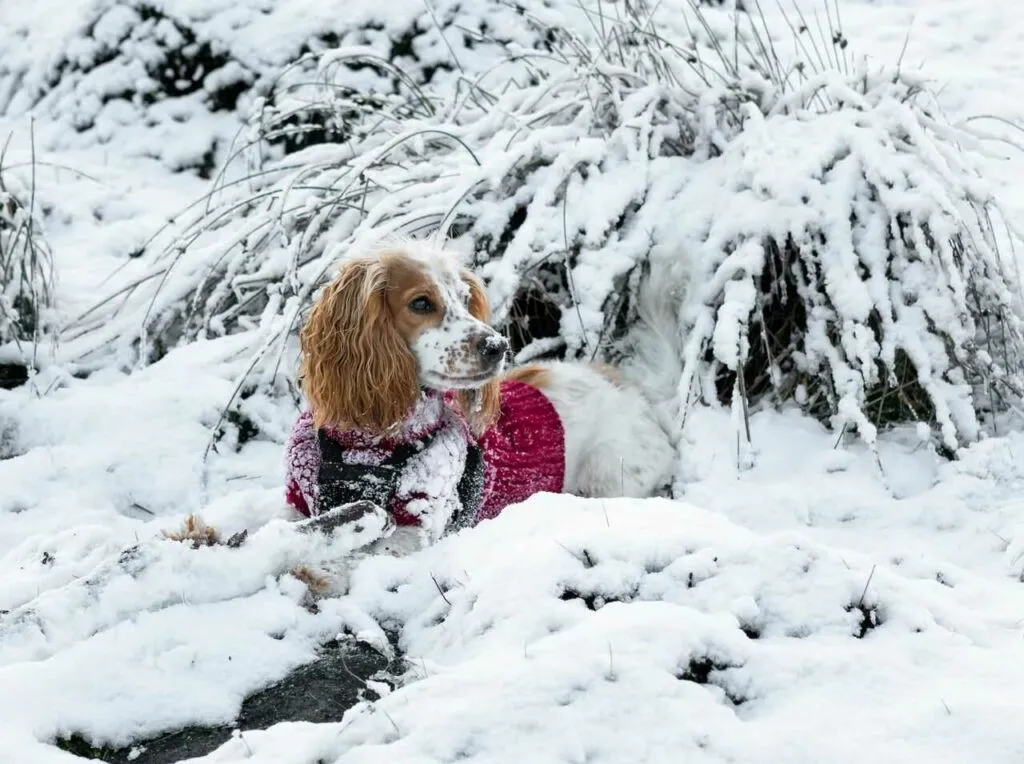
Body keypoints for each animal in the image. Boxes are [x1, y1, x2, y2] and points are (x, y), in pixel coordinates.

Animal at [284, 240, 675, 548]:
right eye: (421, 303)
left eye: (465, 299)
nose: (497, 345)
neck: (368, 442)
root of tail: (626, 385)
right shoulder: (296, 502)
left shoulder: (412, 530)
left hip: (610, 477)